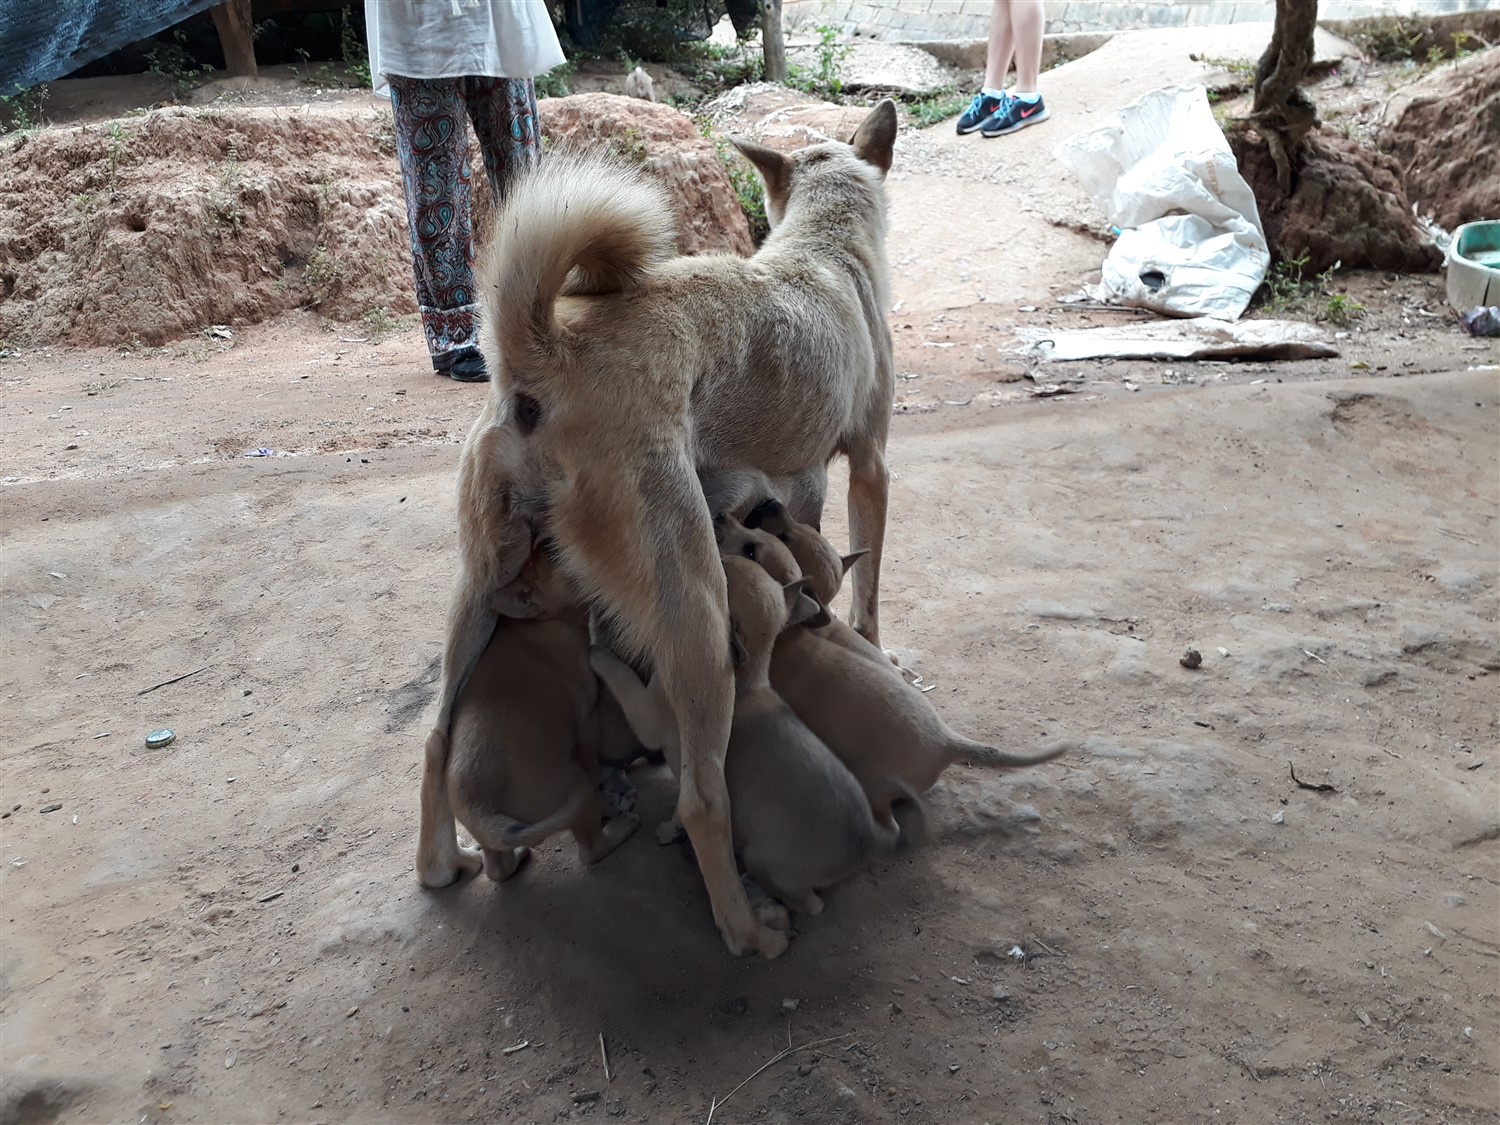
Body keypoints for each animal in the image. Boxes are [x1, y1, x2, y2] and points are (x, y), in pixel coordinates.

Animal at [591, 561, 906, 918]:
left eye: (724, 581)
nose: (716, 556)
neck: (747, 677)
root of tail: (869, 839)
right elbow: (680, 807)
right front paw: (672, 829)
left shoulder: (648, 714)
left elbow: (621, 675)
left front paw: (594, 649)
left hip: (765, 860)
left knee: (811, 904)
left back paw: (754, 893)